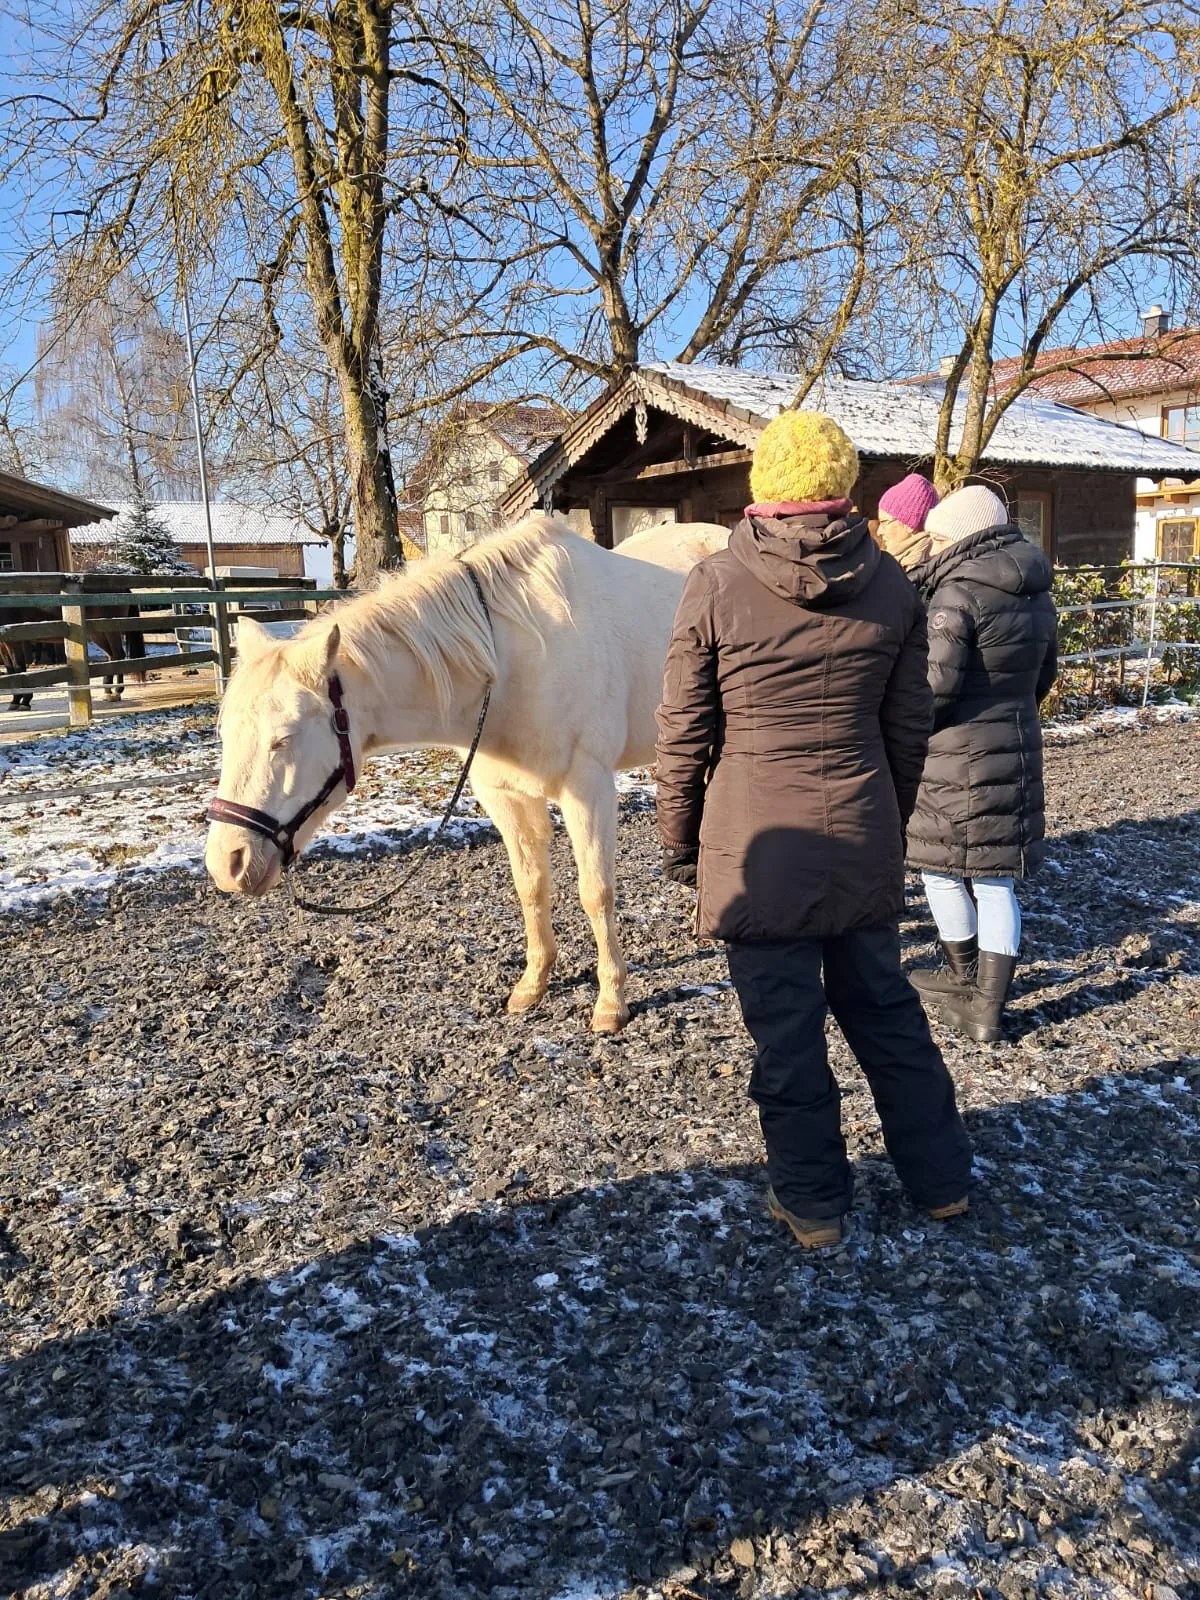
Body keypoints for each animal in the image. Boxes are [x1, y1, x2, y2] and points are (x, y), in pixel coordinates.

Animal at [205, 515, 729, 1032]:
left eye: (283, 739)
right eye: (225, 734)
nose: (227, 864)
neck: (511, 659)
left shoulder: (588, 789)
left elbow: (596, 893)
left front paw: (610, 1002)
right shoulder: (504, 796)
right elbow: (530, 886)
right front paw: (533, 984)